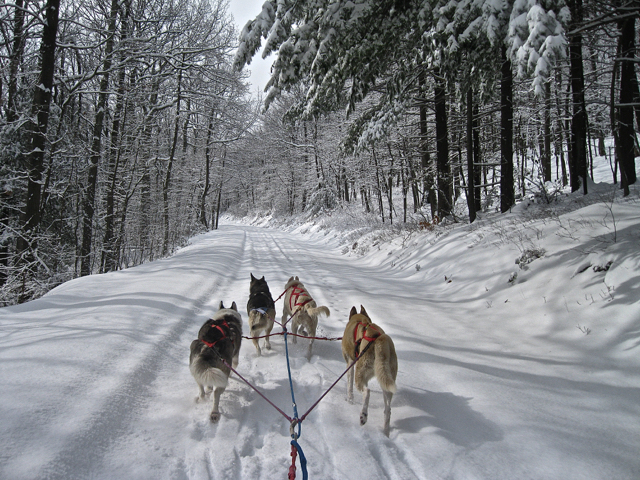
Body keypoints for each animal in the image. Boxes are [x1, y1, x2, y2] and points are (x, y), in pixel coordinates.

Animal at [342, 305, 397, 437]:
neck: (359, 320)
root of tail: (380, 339)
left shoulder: (350, 363)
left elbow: (349, 386)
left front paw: (349, 400)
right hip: (386, 378)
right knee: (388, 410)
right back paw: (385, 433)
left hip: (361, 372)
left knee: (367, 391)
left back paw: (363, 416)